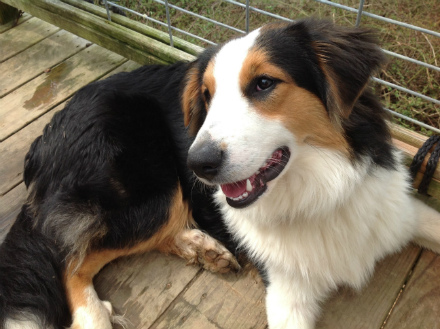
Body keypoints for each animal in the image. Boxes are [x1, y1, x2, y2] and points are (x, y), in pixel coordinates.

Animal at [185, 19, 440, 326]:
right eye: (206, 95)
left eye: (264, 83)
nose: (198, 163)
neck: (321, 194)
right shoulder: (285, 292)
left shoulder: (401, 213)